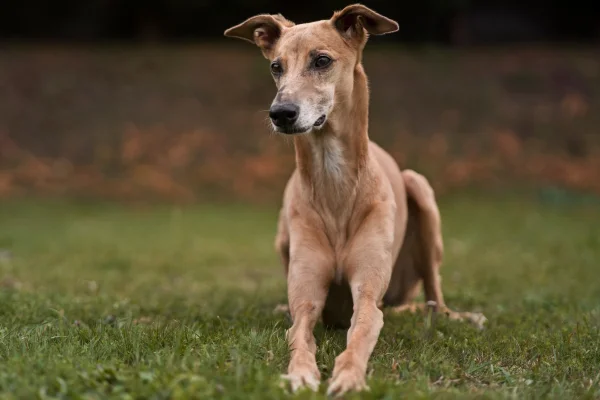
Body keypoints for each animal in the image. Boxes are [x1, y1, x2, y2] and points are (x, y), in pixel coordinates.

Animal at [223, 4, 486, 396]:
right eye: (276, 66)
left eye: (321, 60)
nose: (281, 114)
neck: (335, 186)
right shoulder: (306, 300)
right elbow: (299, 333)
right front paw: (301, 373)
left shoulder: (366, 294)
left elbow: (361, 331)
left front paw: (348, 376)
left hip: (420, 193)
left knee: (432, 301)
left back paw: (461, 316)